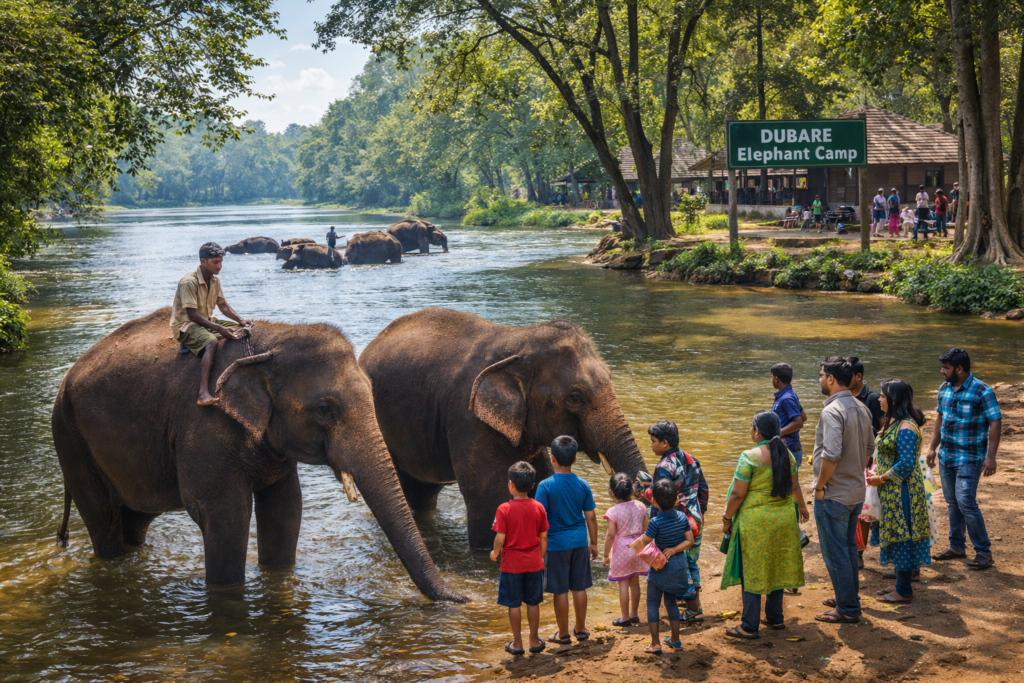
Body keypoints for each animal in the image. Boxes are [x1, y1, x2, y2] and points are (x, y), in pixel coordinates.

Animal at [52, 309, 464, 602]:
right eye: (325, 409)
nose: (462, 597)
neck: (272, 340)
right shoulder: (202, 425)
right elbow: (224, 513)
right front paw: (227, 596)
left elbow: (285, 507)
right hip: (71, 440)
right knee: (103, 519)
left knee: (134, 519)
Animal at [359, 307, 649, 549]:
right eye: (575, 398)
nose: (631, 485)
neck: (519, 340)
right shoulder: (469, 419)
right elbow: (489, 498)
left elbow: (539, 482)